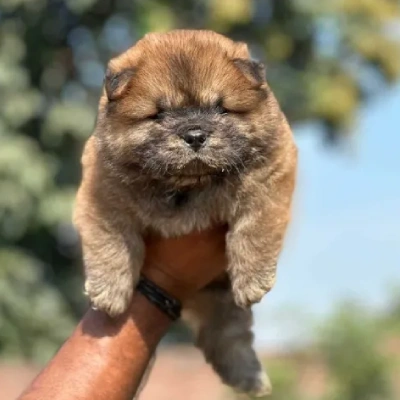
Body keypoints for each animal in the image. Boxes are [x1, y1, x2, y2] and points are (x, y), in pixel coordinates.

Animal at [73, 30, 296, 396]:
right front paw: (108, 294)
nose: (194, 134)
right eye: (159, 114)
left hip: (221, 298)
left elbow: (255, 227)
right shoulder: (101, 192)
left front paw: (253, 281)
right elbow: (110, 242)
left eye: (221, 109)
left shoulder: (272, 173)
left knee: (228, 337)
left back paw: (251, 379)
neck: (188, 183)